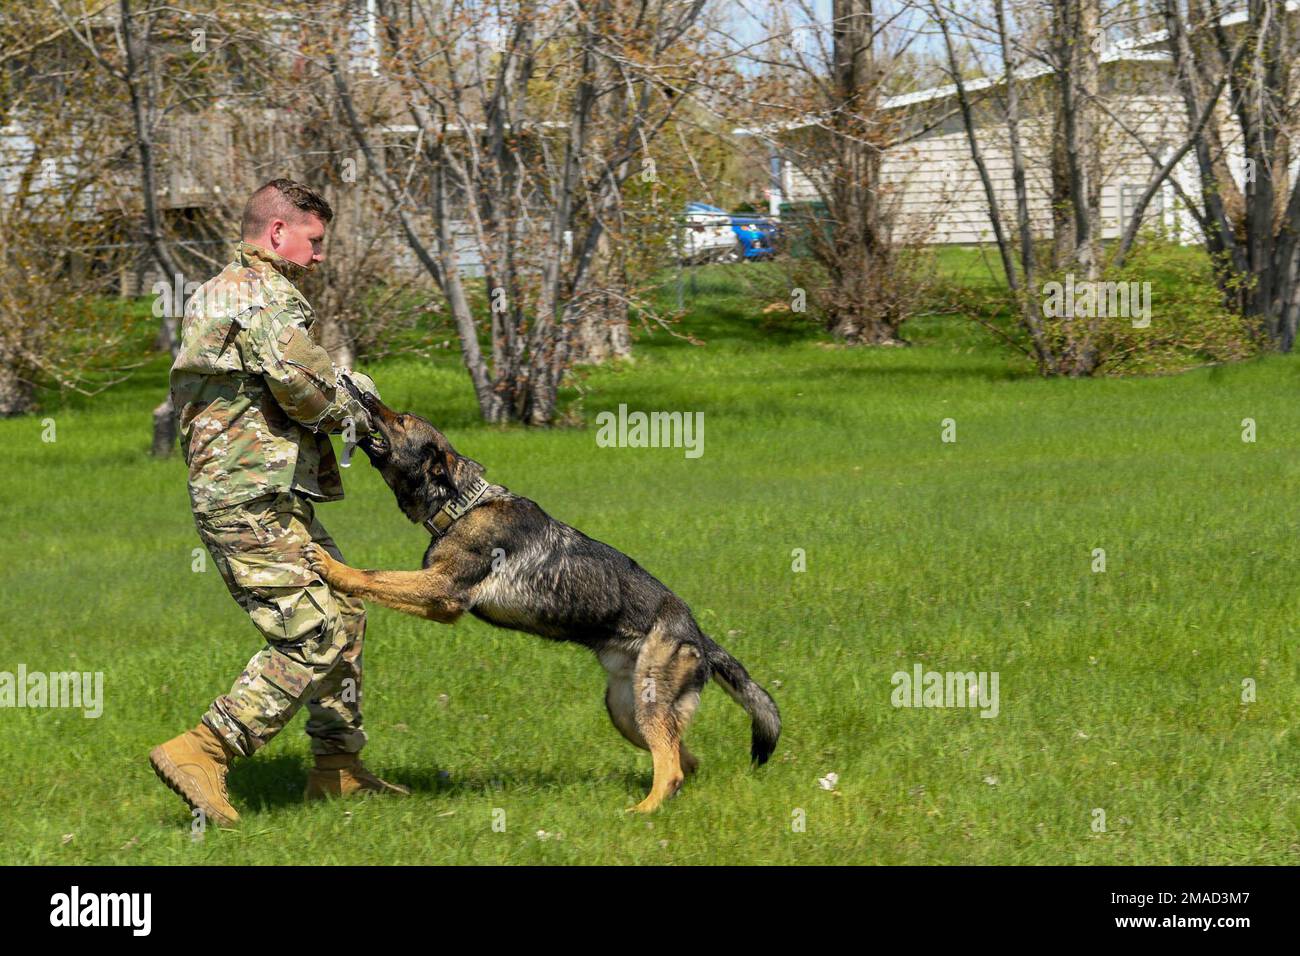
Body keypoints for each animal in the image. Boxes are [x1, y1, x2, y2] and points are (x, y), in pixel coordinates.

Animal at [306, 392, 780, 811]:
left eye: (401, 419)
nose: (363, 394)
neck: (463, 504)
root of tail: (698, 635)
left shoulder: (441, 591)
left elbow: (372, 576)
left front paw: (333, 567)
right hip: (624, 710)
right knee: (681, 755)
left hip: (646, 702)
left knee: (672, 767)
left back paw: (643, 811)